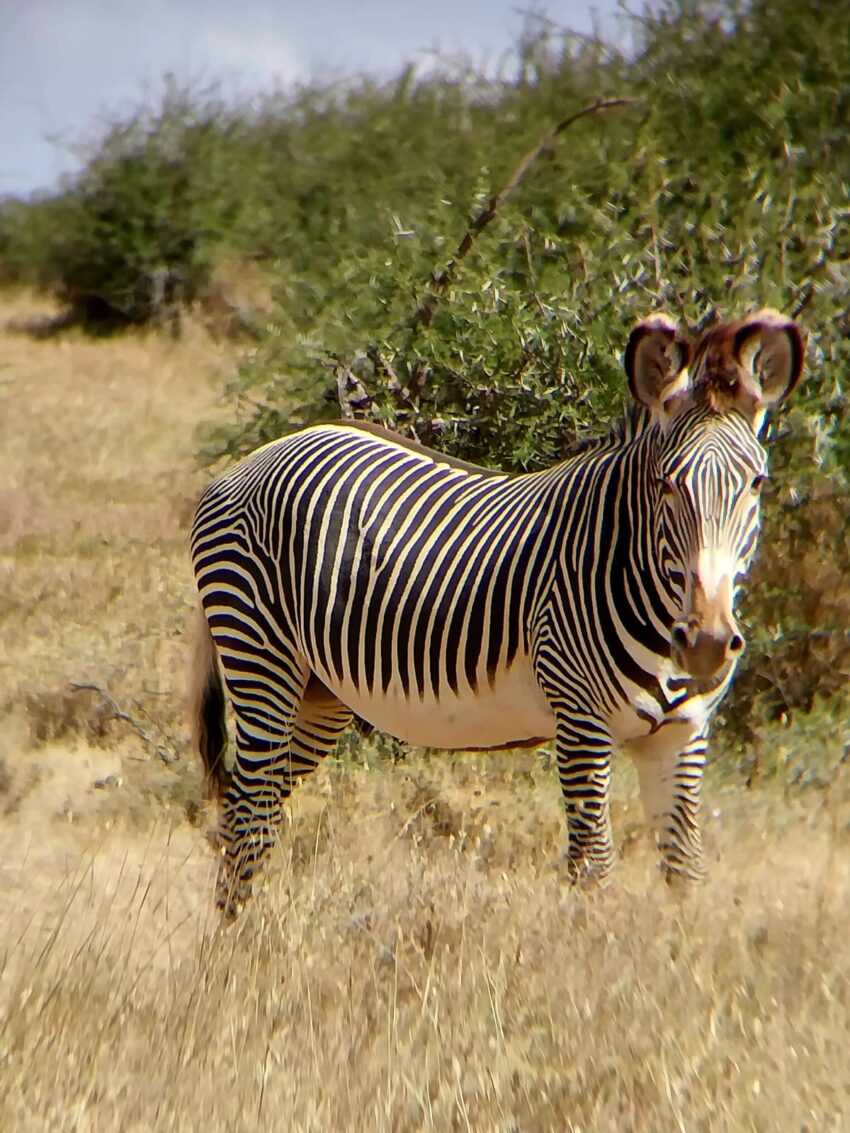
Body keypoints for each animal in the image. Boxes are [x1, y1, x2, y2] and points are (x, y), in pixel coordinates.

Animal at [190, 308, 804, 917]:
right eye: (665, 485)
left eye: (757, 484)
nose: (705, 644)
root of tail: (264, 451)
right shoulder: (580, 723)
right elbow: (594, 869)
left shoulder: (681, 737)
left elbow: (685, 873)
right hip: (259, 655)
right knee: (248, 814)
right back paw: (235, 946)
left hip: (320, 694)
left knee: (256, 814)